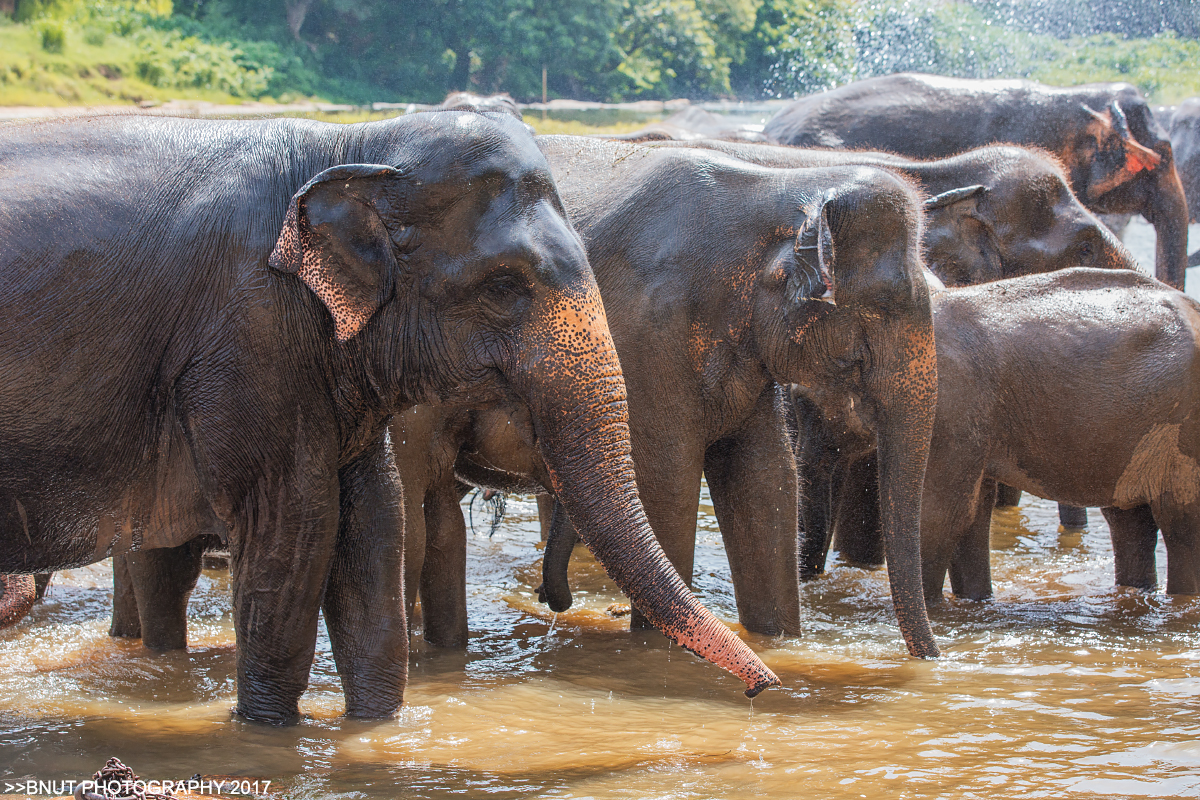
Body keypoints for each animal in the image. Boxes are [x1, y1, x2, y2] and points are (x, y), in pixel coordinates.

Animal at [0, 109, 777, 724]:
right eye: (503, 286)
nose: (762, 689)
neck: (352, 144)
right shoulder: (250, 338)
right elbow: (293, 532)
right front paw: (266, 734)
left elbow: (372, 526)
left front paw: (377, 730)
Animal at [796, 266, 1200, 604]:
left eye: (806, 405)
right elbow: (973, 515)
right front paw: (974, 603)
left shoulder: (949, 409)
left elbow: (940, 514)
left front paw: (934, 610)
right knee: (1130, 521)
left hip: (1184, 432)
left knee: (1180, 524)